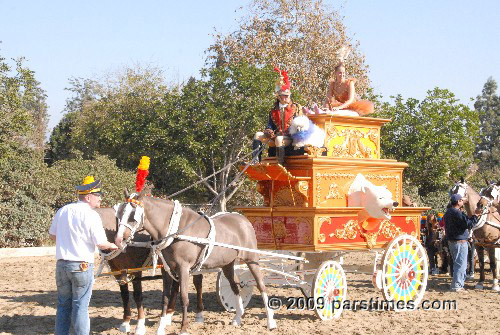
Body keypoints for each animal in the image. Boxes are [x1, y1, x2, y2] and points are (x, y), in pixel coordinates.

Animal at [114, 190, 278, 334]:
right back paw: (238, 317)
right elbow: (165, 298)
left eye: (132, 215)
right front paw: (160, 328)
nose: (118, 239)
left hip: (252, 259)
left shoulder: (183, 269)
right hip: (228, 264)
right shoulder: (166, 270)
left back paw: (270, 321)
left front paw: (183, 329)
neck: (176, 231)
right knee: (236, 286)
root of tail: (243, 220)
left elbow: (184, 298)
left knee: (261, 285)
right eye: (119, 213)